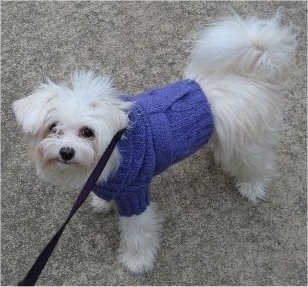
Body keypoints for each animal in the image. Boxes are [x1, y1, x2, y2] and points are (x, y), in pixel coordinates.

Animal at [12, 11, 298, 274]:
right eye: (53, 128)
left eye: (87, 132)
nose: (66, 152)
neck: (114, 150)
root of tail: (247, 76)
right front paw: (103, 203)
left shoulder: (134, 194)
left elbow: (138, 233)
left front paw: (137, 261)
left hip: (245, 146)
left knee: (258, 165)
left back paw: (252, 187)